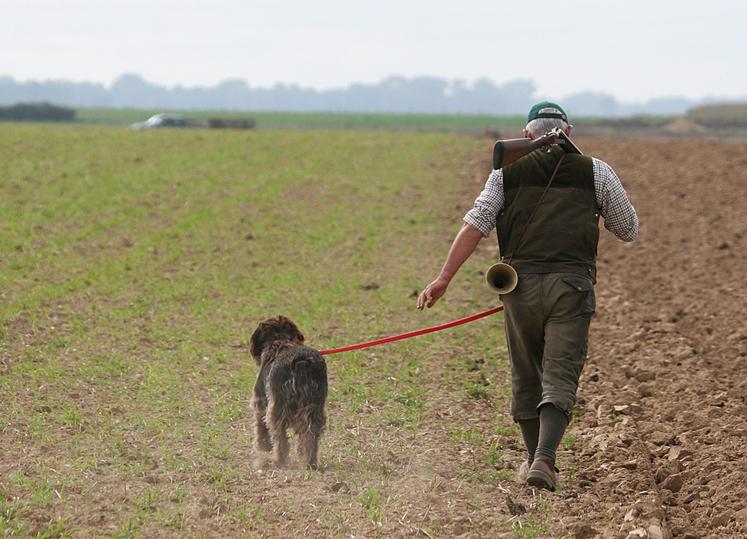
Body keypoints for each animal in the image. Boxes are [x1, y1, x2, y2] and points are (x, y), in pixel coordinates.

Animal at [251, 316, 328, 468]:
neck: (280, 339)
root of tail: (301, 362)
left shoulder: (260, 401)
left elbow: (260, 426)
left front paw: (263, 446)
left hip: (277, 409)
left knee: (280, 438)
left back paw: (279, 461)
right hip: (314, 408)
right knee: (310, 435)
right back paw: (309, 461)